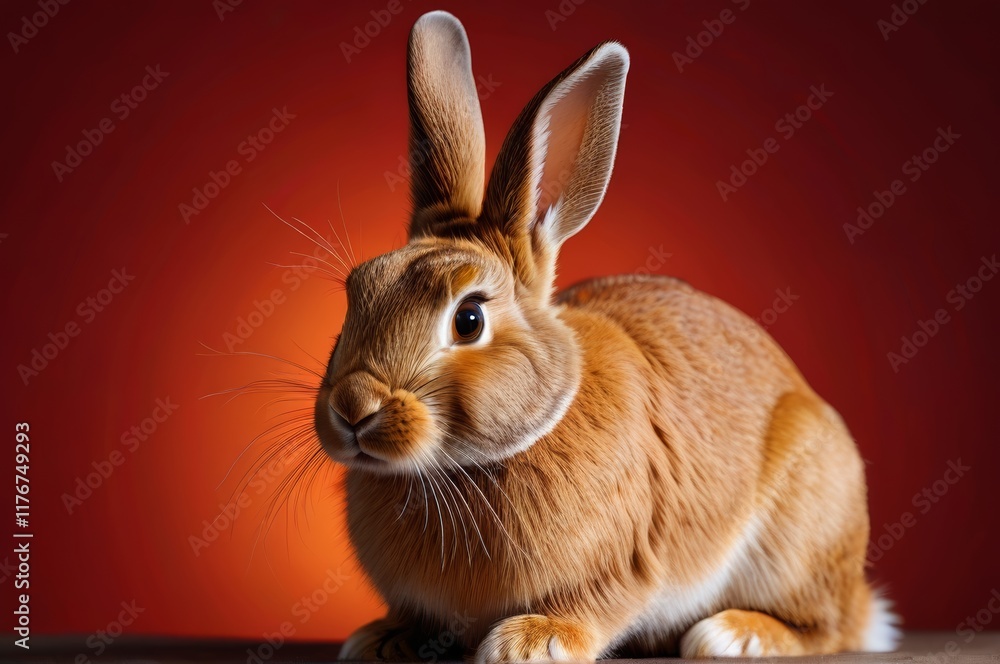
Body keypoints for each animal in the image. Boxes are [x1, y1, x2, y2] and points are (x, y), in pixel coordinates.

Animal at [312, 10, 900, 662]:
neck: (463, 468)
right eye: (356, 291)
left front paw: (530, 642)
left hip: (802, 532)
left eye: (469, 319)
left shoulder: (627, 563)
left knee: (828, 626)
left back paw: (733, 634)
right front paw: (379, 639)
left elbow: (594, 603)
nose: (352, 408)